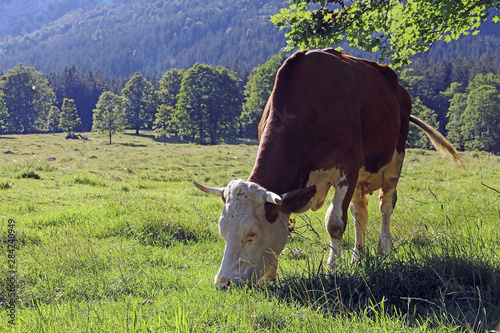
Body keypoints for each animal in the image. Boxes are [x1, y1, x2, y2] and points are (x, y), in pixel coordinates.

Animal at [194, 48, 460, 288]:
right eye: (222, 231)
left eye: (253, 233)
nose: (223, 282)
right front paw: (271, 276)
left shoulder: (347, 168)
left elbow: (334, 222)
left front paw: (332, 269)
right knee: (360, 211)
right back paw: (358, 256)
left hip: (395, 159)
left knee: (386, 205)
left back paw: (385, 251)